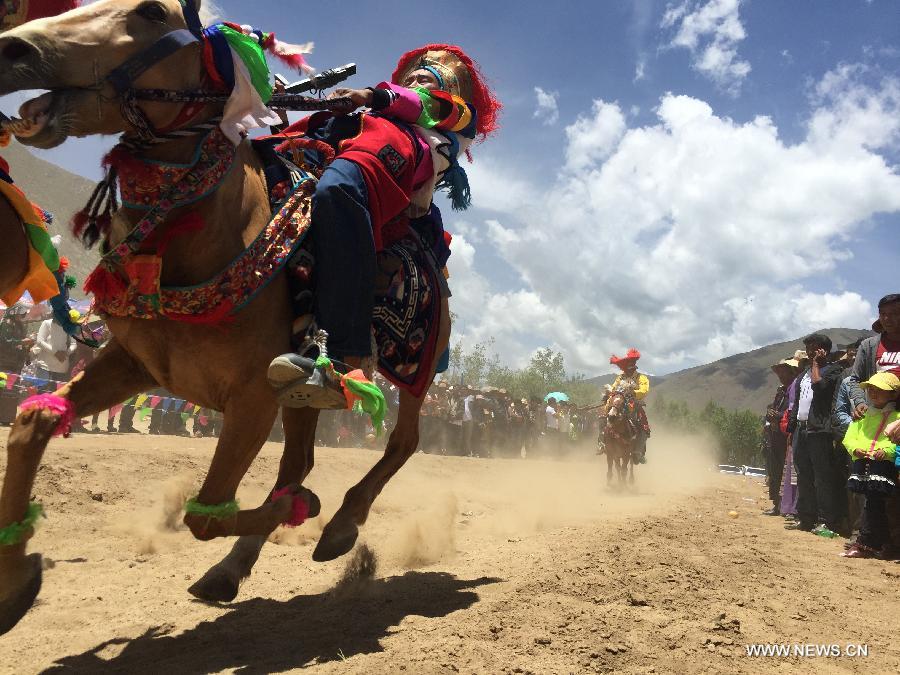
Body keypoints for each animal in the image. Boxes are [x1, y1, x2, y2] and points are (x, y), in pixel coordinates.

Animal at [0, 0, 450, 636]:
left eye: (152, 13)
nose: (16, 47)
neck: (209, 234)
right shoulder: (139, 365)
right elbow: (32, 421)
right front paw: (15, 583)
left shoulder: (251, 399)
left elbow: (207, 514)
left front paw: (301, 510)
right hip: (302, 391)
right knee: (300, 456)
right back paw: (235, 566)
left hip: (418, 369)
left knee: (401, 442)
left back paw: (340, 524)